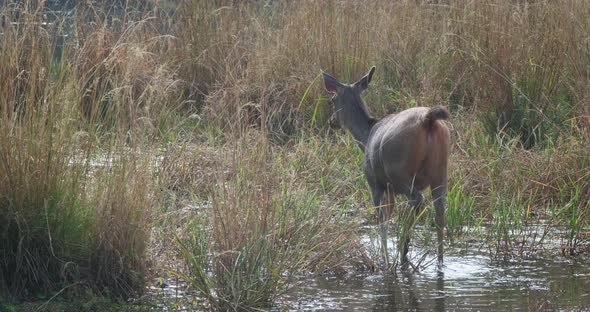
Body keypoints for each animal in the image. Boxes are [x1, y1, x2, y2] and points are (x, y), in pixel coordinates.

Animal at [324, 66, 454, 266]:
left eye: (332, 99)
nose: (332, 121)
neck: (365, 137)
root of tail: (428, 119)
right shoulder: (390, 189)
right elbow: (388, 214)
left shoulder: (374, 183)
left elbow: (381, 220)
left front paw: (384, 258)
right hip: (441, 171)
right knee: (440, 212)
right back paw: (438, 261)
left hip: (400, 171)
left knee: (417, 201)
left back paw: (404, 248)